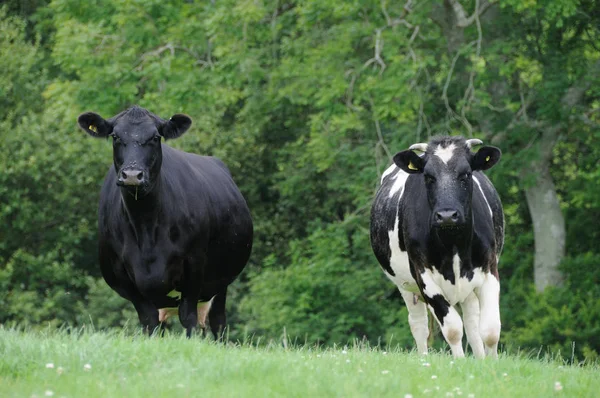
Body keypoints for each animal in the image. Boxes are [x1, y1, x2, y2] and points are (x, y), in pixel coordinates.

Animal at [77, 106, 253, 338]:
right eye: (115, 136)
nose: (132, 175)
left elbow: (188, 317)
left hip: (220, 282)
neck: (145, 225)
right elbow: (149, 321)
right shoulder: (122, 277)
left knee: (218, 323)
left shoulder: (194, 266)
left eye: (155, 137)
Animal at [370, 137, 502, 358]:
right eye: (428, 176)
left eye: (466, 174)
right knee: (419, 325)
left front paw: (489, 363)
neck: (453, 243)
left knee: (472, 323)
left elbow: (490, 330)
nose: (447, 215)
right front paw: (460, 362)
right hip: (405, 285)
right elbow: (453, 329)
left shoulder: (489, 268)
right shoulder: (424, 277)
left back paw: (479, 358)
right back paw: (424, 358)